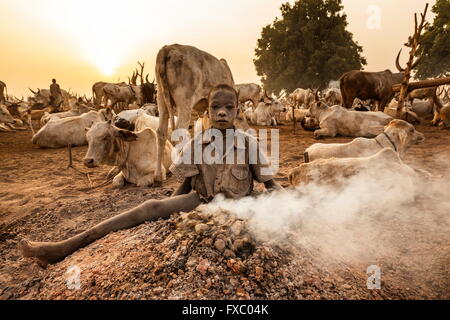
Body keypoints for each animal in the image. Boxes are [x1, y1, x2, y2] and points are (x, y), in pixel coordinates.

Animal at [155, 45, 236, 185]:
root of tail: (168, 48)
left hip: (161, 98)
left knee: (161, 133)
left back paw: (157, 176)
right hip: (185, 102)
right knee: (178, 133)